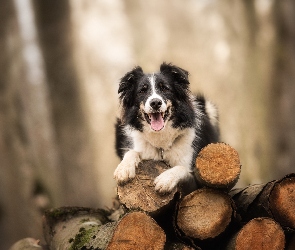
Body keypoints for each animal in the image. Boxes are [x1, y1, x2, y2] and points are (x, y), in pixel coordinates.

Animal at [114, 62, 221, 193]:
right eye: (142, 91)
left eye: (165, 88)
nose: (155, 103)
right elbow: (132, 152)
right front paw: (123, 169)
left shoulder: (197, 183)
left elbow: (182, 168)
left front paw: (165, 180)